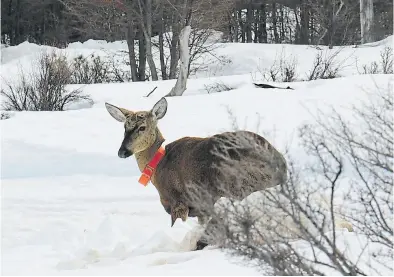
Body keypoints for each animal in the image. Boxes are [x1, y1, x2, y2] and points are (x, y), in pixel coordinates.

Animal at [104, 97, 288, 250]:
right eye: (125, 127)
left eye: (142, 127)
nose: (122, 151)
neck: (158, 164)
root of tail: (280, 162)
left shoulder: (180, 203)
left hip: (238, 186)